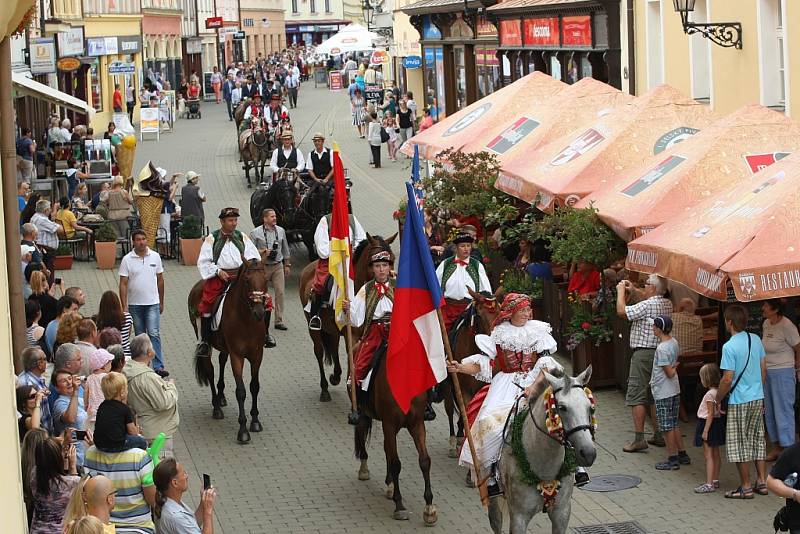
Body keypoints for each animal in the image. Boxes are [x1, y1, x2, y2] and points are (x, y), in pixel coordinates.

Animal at [188, 260, 268, 444]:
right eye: (247, 281)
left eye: (266, 279)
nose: (259, 312)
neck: (247, 320)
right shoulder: (237, 356)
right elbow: (241, 391)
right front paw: (243, 430)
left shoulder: (257, 355)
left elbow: (254, 387)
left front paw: (255, 421)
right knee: (210, 371)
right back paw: (217, 406)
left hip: (225, 348)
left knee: (221, 360)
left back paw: (221, 396)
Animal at [296, 233, 396, 402]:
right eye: (376, 260)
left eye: (392, 259)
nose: (390, 279)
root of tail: (308, 268)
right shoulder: (353, 335)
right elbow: (352, 357)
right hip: (313, 327)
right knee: (319, 351)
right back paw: (324, 389)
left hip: (333, 328)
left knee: (334, 346)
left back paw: (336, 376)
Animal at [484, 368, 596, 534]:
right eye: (562, 407)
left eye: (590, 407)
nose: (589, 454)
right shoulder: (519, 517)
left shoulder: (561, 513)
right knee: (496, 521)